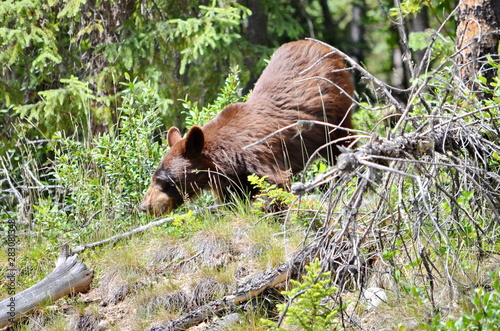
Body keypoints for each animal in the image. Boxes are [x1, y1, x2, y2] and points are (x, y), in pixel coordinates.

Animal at [140, 39, 352, 215]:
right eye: (154, 177)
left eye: (163, 181)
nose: (144, 206)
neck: (228, 158)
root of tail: (322, 46)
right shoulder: (230, 179)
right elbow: (232, 199)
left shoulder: (259, 156)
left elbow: (273, 186)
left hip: (335, 108)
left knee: (341, 142)